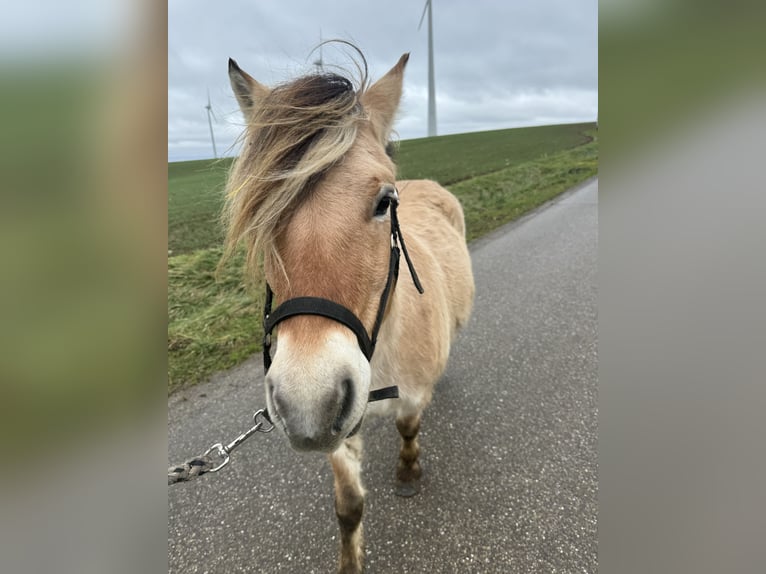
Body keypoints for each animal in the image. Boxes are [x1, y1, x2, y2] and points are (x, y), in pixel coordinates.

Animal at [220, 47, 474, 572]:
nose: (307, 402)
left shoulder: (410, 398)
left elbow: (408, 427)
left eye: (385, 201)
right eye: (263, 214)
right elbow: (349, 506)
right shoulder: (338, 435)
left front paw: (408, 472)